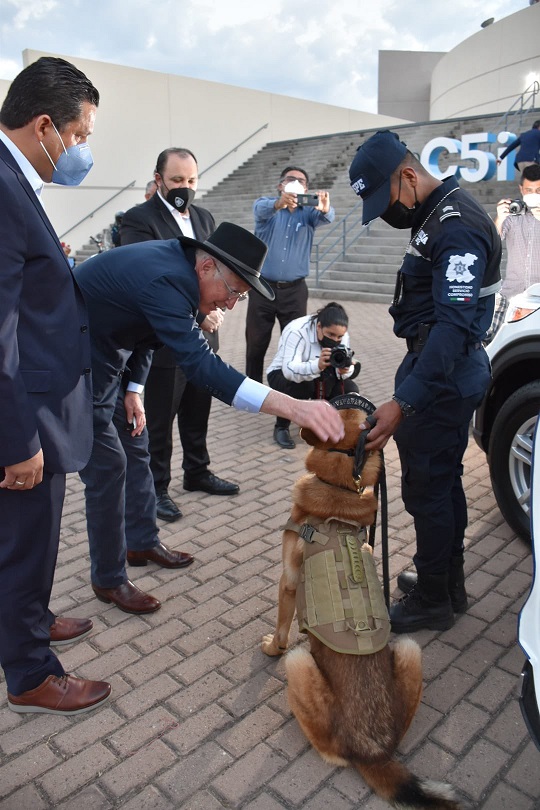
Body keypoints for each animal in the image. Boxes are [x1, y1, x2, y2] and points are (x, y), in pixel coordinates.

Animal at [262, 396, 460, 808]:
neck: (340, 491)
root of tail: (375, 751)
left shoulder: (288, 582)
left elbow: (281, 628)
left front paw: (271, 645)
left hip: (299, 665)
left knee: (330, 750)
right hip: (409, 650)